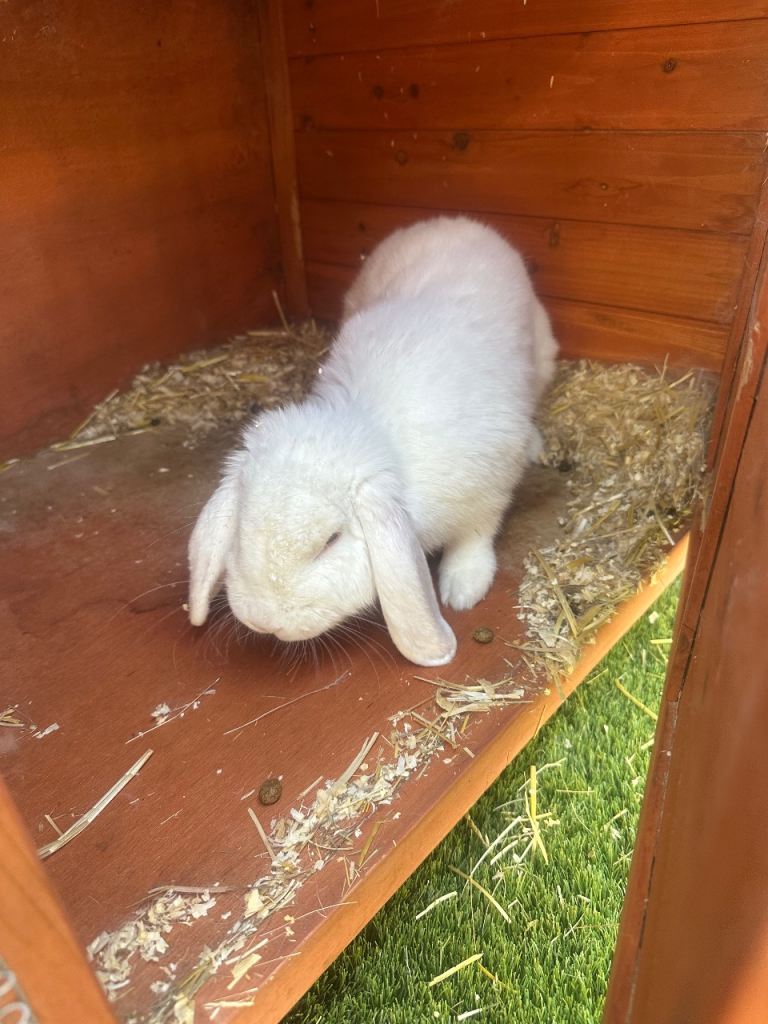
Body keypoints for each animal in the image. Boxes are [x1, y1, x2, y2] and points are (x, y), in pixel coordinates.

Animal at [188, 215, 558, 667]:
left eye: (330, 541)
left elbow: (476, 536)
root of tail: (452, 222)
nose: (263, 619)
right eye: (241, 529)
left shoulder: (489, 489)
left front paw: (462, 588)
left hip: (542, 356)